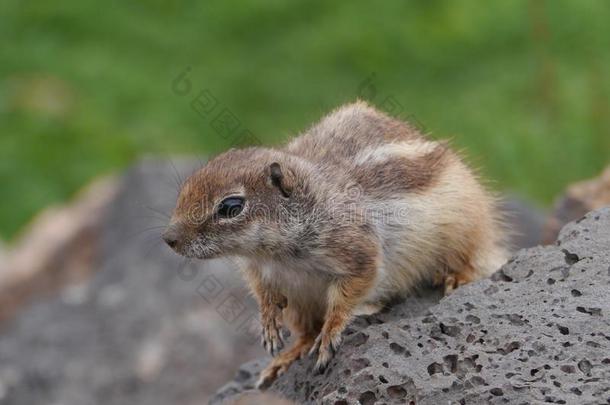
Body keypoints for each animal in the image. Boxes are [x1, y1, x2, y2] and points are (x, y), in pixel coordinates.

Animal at [162, 101, 508, 388]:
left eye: (231, 207)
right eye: (188, 185)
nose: (169, 239)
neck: (277, 255)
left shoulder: (357, 251)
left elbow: (348, 295)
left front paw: (331, 333)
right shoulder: (260, 270)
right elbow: (263, 293)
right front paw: (268, 321)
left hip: (467, 229)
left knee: (475, 257)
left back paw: (457, 276)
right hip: (300, 303)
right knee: (304, 329)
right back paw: (287, 357)